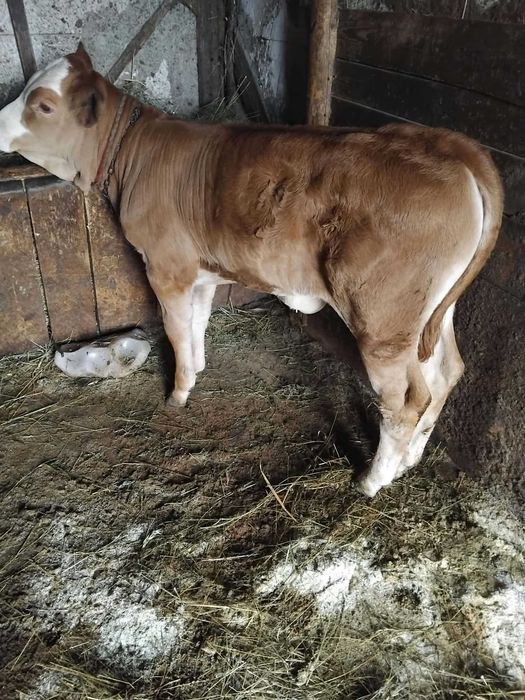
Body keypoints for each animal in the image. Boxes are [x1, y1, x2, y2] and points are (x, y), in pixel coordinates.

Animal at [0, 44, 503, 497]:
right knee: (446, 374)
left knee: (405, 402)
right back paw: (410, 459)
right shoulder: (199, 271)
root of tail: (446, 144)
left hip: (383, 321)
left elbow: (175, 330)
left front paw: (177, 394)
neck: (136, 158)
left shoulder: (166, 266)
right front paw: (197, 369)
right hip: (432, 315)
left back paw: (373, 480)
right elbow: (196, 323)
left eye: (43, 104)